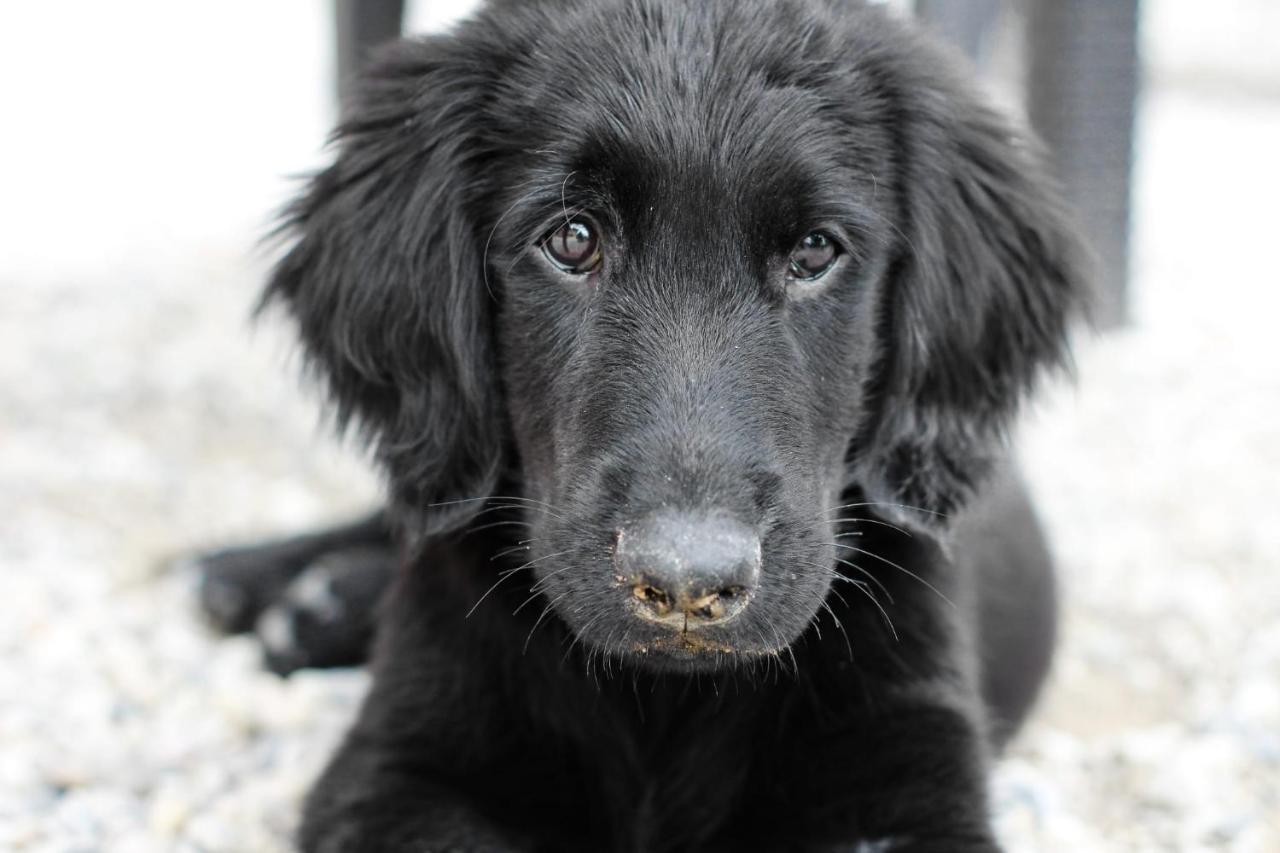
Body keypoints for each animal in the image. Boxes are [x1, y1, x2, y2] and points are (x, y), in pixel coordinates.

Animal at [194, 0, 1085, 845]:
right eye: (572, 238)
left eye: (814, 251)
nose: (688, 583)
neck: (664, 700)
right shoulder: (398, 767)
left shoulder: (901, 774)